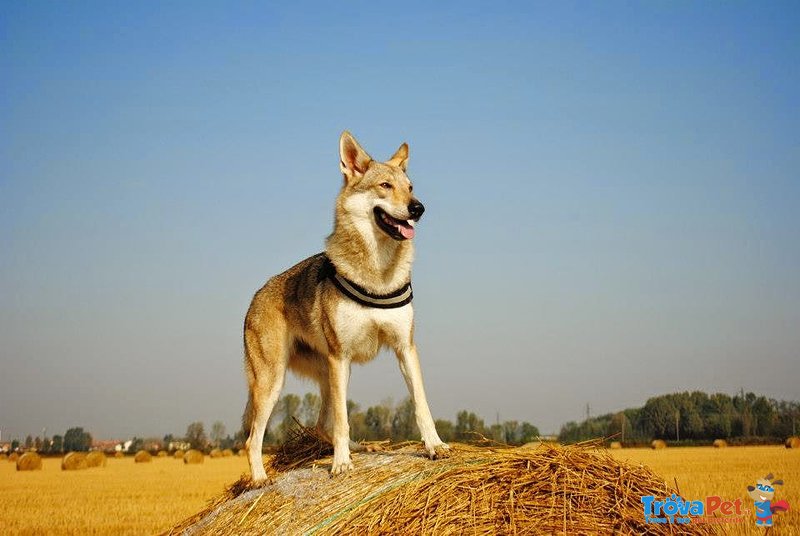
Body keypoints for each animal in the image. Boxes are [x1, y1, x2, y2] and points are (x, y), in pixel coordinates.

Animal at [244, 131, 446, 482]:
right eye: (385, 186)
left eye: (410, 187)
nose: (418, 208)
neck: (377, 274)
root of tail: (254, 297)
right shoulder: (342, 356)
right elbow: (343, 419)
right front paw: (340, 464)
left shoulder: (405, 347)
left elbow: (421, 404)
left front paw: (435, 446)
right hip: (275, 382)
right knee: (254, 439)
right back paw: (259, 480)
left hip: (327, 374)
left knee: (322, 425)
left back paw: (367, 448)